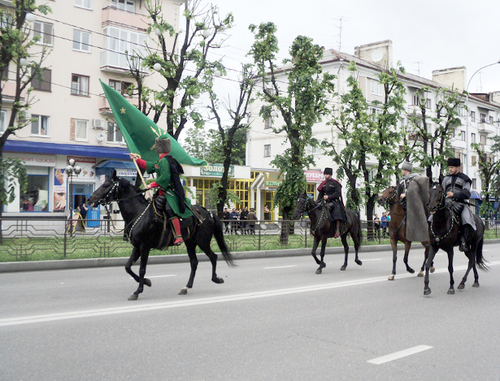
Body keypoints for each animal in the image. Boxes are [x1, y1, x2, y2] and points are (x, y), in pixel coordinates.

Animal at [88, 170, 234, 300]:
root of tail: (208, 213)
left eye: (106, 185)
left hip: (202, 242)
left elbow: (142, 269)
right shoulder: (137, 247)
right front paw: (146, 282)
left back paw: (216, 279)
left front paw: (137, 291)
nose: (90, 199)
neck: (139, 213)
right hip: (190, 243)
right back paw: (186, 287)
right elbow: (128, 267)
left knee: (213, 257)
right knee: (194, 262)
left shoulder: (144, 247)